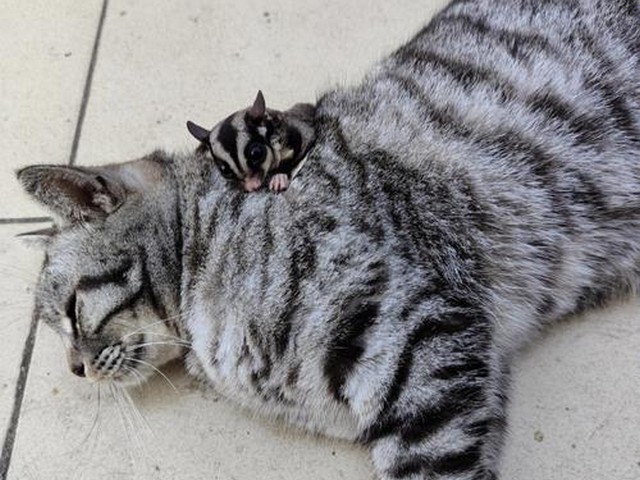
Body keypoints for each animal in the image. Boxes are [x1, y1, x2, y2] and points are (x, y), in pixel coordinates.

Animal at [185, 91, 316, 192]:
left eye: (256, 154)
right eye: (224, 170)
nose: (252, 186)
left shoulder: (288, 134)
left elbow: (307, 136)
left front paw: (279, 176)